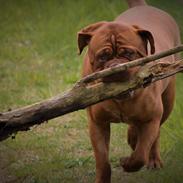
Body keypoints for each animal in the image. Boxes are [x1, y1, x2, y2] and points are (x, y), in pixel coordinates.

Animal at [78, 0, 181, 182]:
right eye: (102, 57)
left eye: (129, 53)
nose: (116, 67)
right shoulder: (97, 124)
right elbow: (102, 160)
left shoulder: (152, 118)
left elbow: (141, 154)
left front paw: (128, 162)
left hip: (168, 101)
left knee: (153, 136)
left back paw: (152, 157)